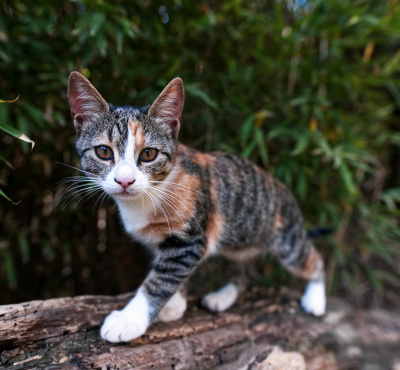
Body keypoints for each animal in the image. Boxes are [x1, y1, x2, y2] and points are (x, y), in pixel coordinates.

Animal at [67, 71, 326, 344]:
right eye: (103, 151)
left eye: (148, 154)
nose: (125, 181)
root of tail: (283, 187)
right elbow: (169, 271)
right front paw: (174, 304)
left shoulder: (191, 239)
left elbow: (161, 279)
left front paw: (130, 319)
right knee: (243, 270)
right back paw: (224, 296)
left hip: (286, 240)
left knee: (312, 259)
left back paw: (316, 299)